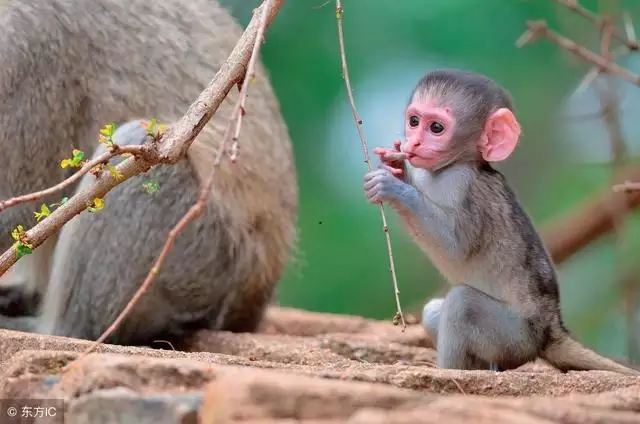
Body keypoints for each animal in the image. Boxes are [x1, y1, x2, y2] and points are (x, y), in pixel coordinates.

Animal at [0, 0, 298, 346]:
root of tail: (252, 303)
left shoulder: (29, 45)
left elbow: (15, 207)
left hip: (203, 260)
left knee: (138, 146)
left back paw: (65, 329)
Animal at [364, 68, 640, 374]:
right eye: (414, 121)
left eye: (436, 127)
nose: (413, 143)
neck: (453, 166)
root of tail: (551, 328)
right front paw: (396, 167)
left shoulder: (462, 185)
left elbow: (454, 247)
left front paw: (393, 186)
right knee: (435, 310)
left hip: (514, 338)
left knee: (462, 304)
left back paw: (449, 370)